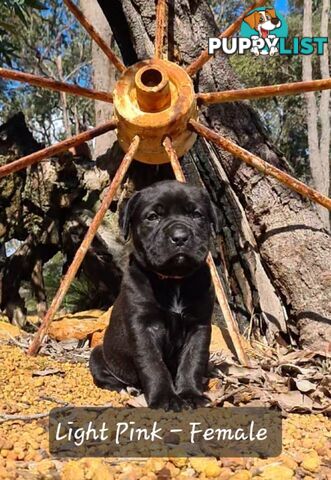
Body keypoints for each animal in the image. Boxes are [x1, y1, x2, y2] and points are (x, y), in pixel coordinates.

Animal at [89, 178, 218, 410]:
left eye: (197, 215)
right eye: (152, 217)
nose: (180, 237)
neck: (174, 280)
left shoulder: (199, 325)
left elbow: (192, 360)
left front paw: (190, 394)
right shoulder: (143, 326)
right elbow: (153, 364)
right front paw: (166, 398)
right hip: (97, 354)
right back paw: (130, 389)